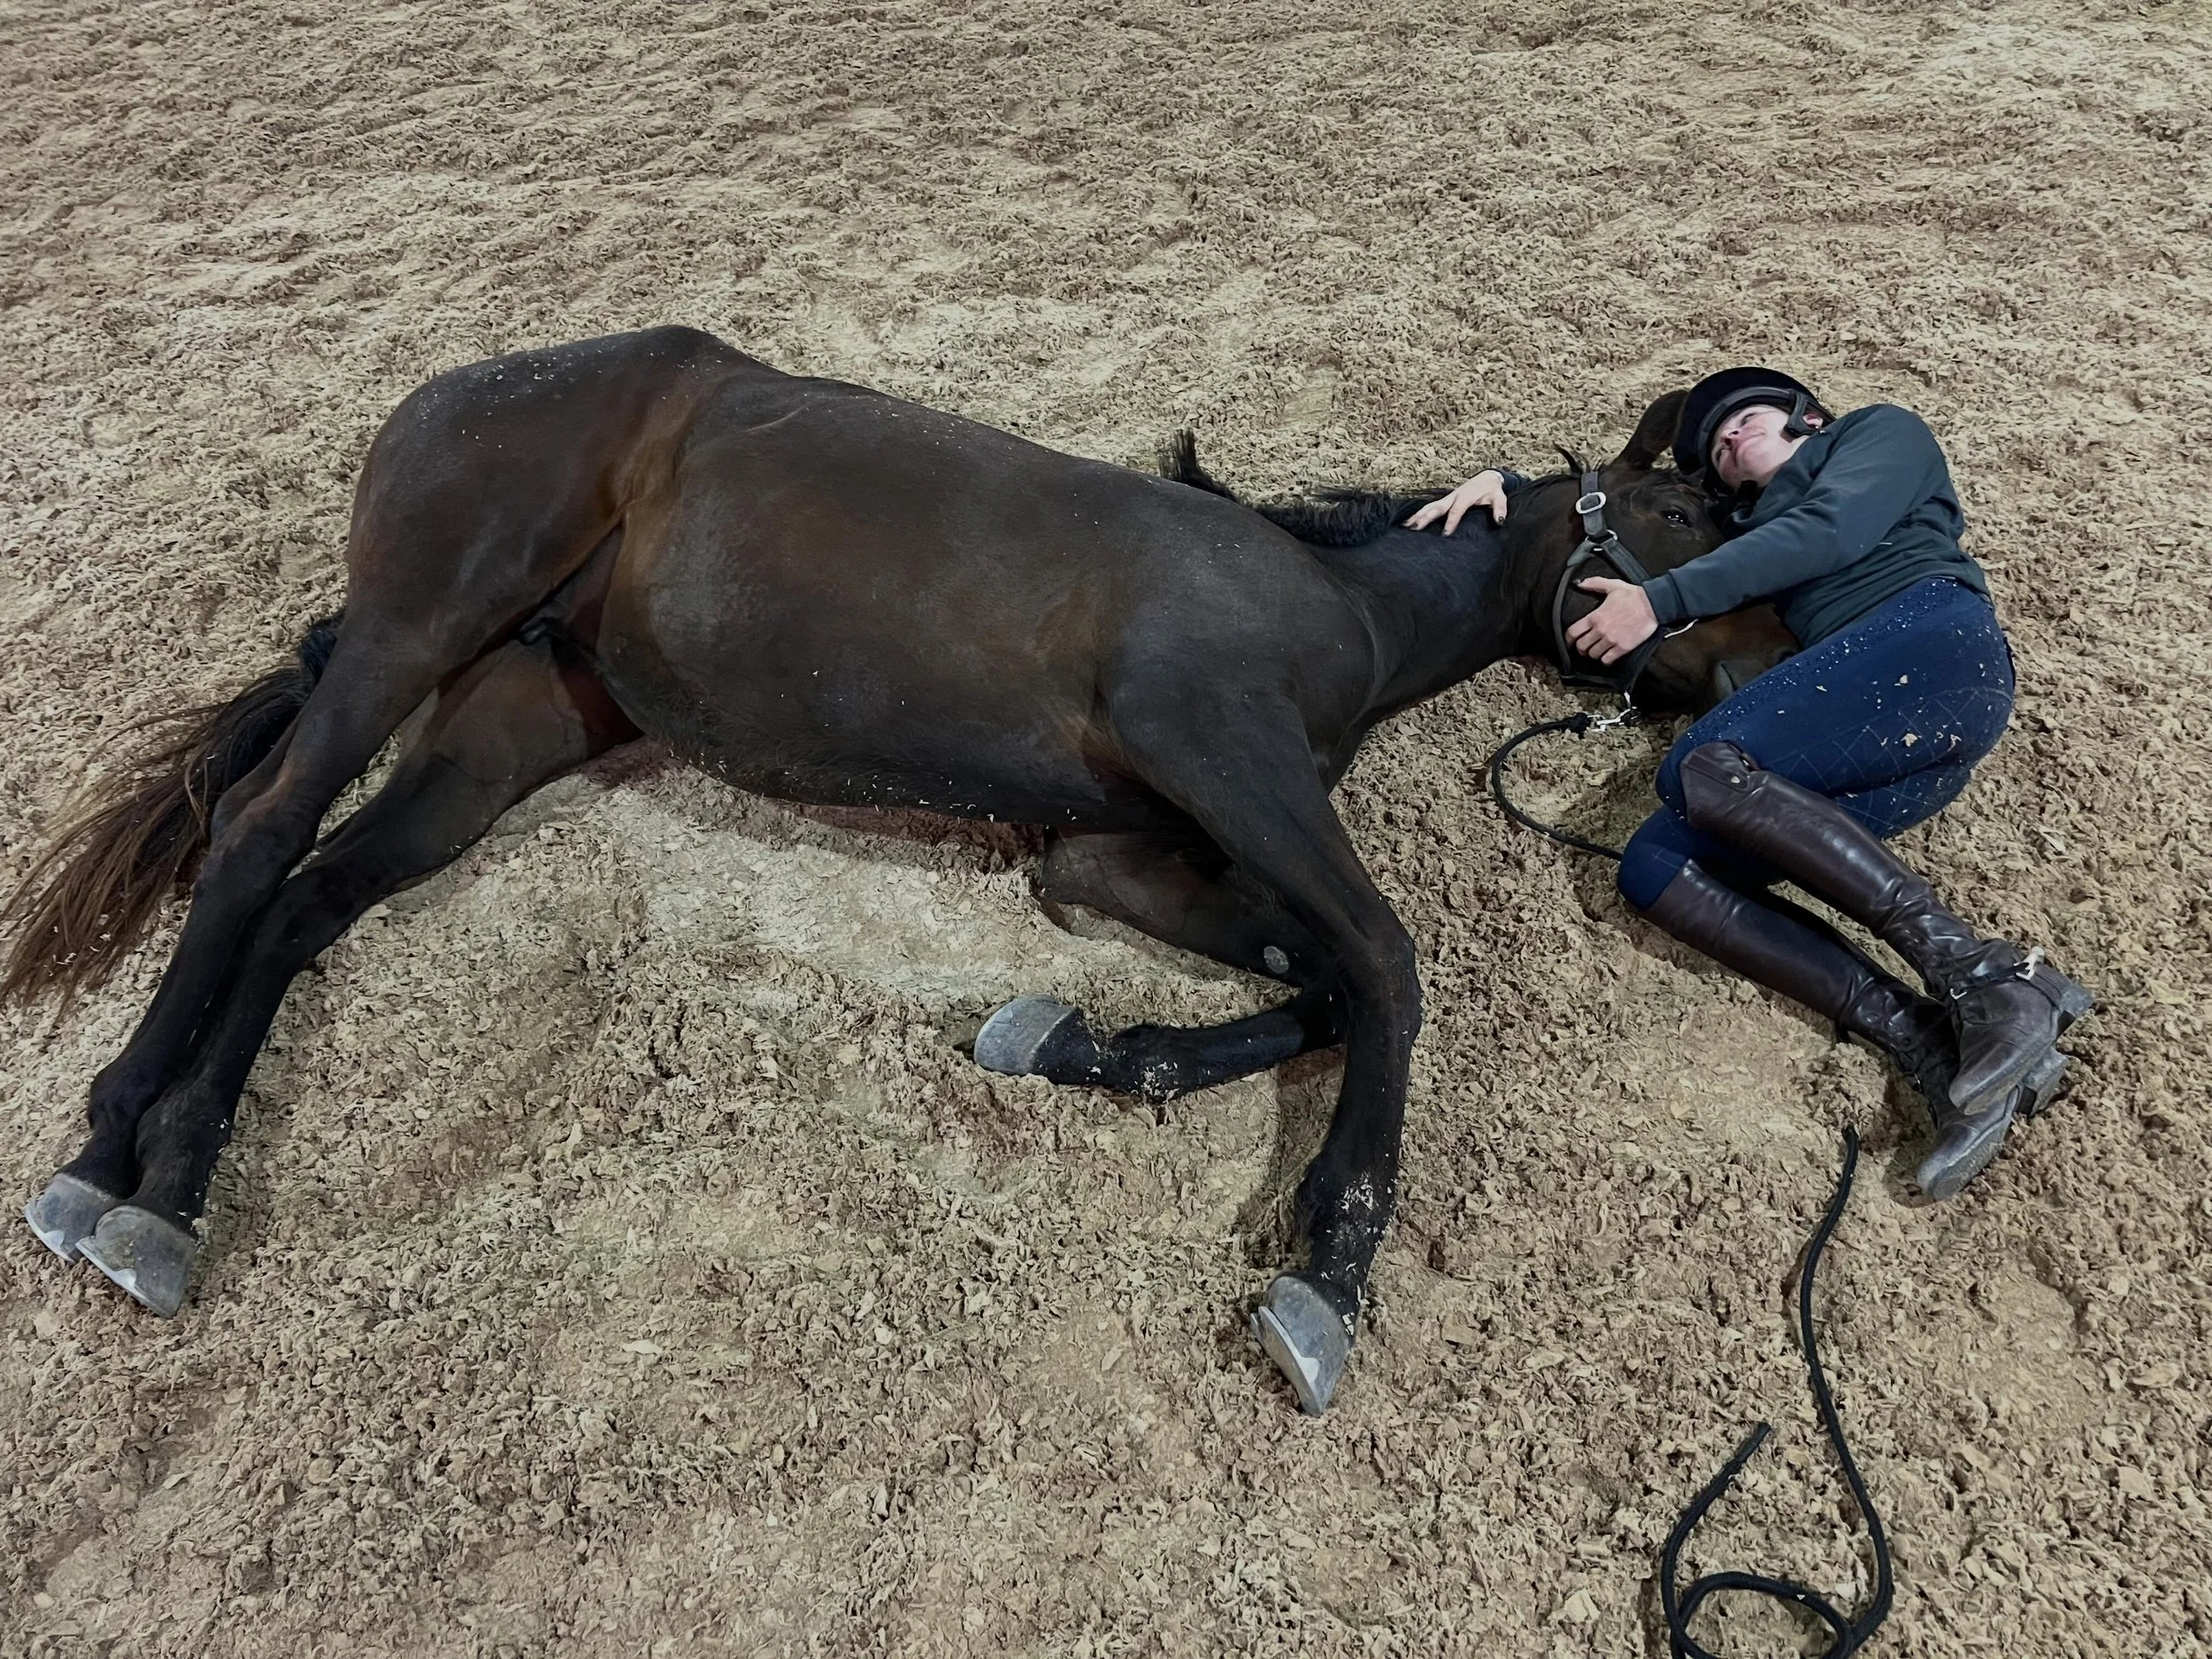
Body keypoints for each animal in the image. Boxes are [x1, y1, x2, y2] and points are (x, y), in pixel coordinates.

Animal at [4, 326, 1795, 1415]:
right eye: (1690, 503)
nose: (1777, 663)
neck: (1329, 601)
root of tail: (461, 393)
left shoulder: (1119, 854)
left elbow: (1322, 984)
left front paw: (1085, 1046)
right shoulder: (1226, 751)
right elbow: (1387, 965)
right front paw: (1329, 1272)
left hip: (512, 721)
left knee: (315, 895)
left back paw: (166, 1185)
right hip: (412, 627)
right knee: (257, 839)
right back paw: (106, 1151)